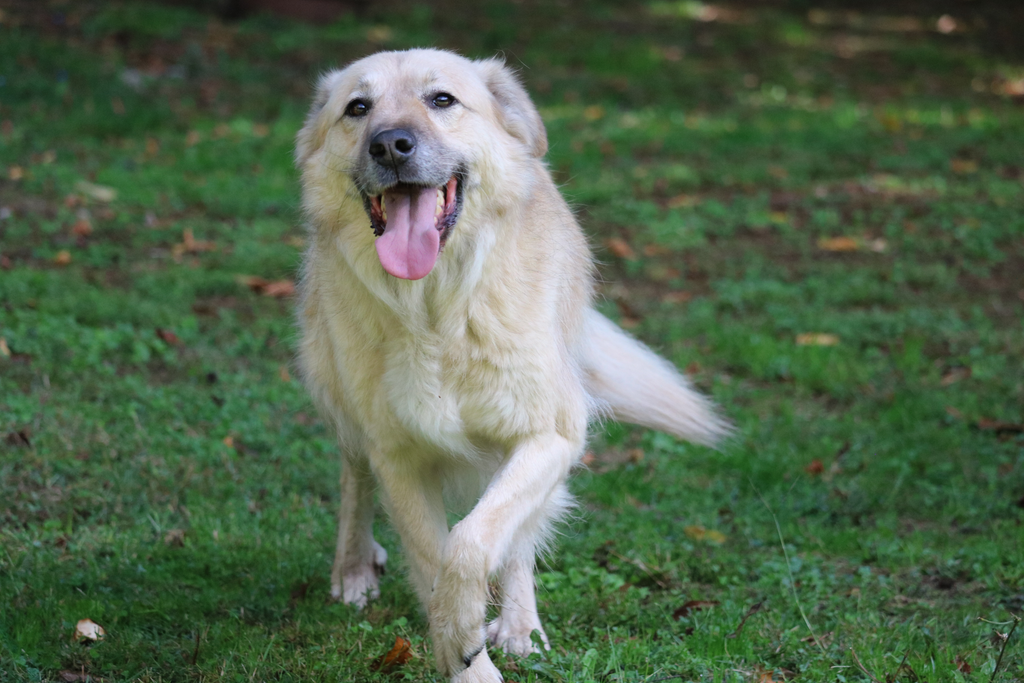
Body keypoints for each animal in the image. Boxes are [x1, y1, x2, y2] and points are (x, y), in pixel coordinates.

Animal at [296, 49, 729, 683]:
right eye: (357, 108)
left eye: (442, 100)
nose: (390, 145)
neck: (436, 311)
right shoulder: (397, 456)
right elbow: (432, 555)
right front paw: (465, 659)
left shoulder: (549, 436)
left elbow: (472, 542)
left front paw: (470, 632)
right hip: (339, 396)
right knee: (355, 477)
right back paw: (353, 567)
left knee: (515, 535)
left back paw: (521, 625)